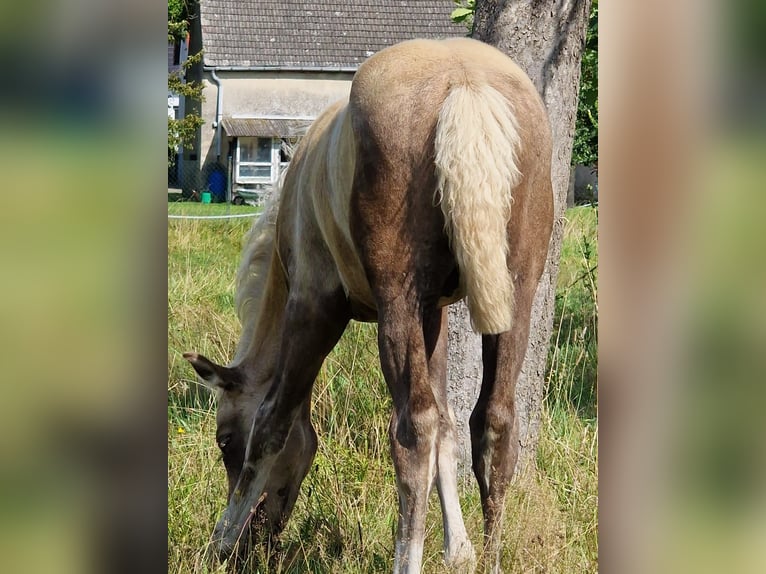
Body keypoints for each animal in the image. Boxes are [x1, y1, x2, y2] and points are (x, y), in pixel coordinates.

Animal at [189, 37, 556, 574]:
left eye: (224, 440)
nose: (255, 544)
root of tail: (465, 83)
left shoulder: (314, 307)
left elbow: (274, 420)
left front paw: (221, 538)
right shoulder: (433, 313)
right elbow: (448, 427)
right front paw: (459, 549)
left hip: (395, 301)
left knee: (412, 430)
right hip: (515, 296)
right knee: (494, 422)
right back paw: (489, 555)